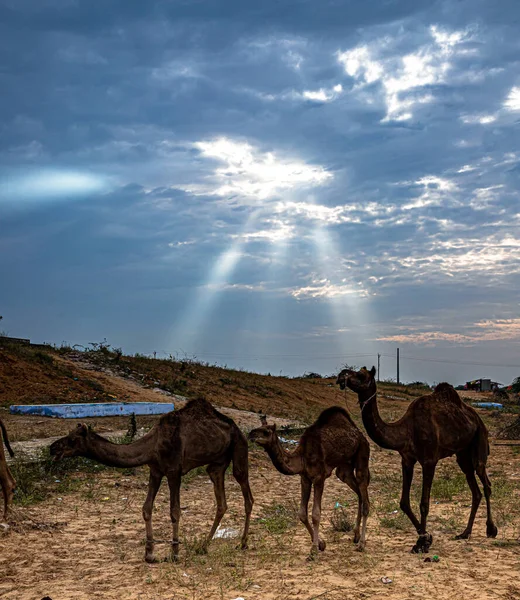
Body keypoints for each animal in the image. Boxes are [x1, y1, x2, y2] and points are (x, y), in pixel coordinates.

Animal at [49, 398, 254, 564]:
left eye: (72, 439)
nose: (52, 448)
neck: (153, 445)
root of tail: (237, 428)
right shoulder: (155, 470)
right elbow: (146, 508)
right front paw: (149, 554)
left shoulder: (173, 471)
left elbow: (174, 511)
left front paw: (174, 553)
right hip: (217, 463)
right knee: (221, 501)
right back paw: (202, 546)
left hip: (239, 446)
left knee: (246, 492)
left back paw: (243, 543)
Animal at [248, 408, 370, 556]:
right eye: (258, 428)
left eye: (266, 432)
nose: (251, 434)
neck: (302, 457)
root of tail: (360, 435)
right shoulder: (305, 478)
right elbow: (302, 514)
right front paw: (321, 544)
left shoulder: (319, 478)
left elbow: (316, 514)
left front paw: (313, 550)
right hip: (344, 468)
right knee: (358, 492)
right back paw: (356, 536)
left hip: (362, 453)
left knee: (365, 497)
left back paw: (362, 544)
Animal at [338, 366, 500, 552]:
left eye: (360, 375)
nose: (341, 375)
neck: (407, 430)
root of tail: (476, 418)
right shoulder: (407, 459)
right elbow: (404, 502)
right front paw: (426, 537)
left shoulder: (429, 460)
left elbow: (424, 504)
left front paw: (422, 543)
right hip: (462, 454)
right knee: (474, 488)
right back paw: (465, 533)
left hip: (480, 438)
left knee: (485, 480)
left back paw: (491, 529)